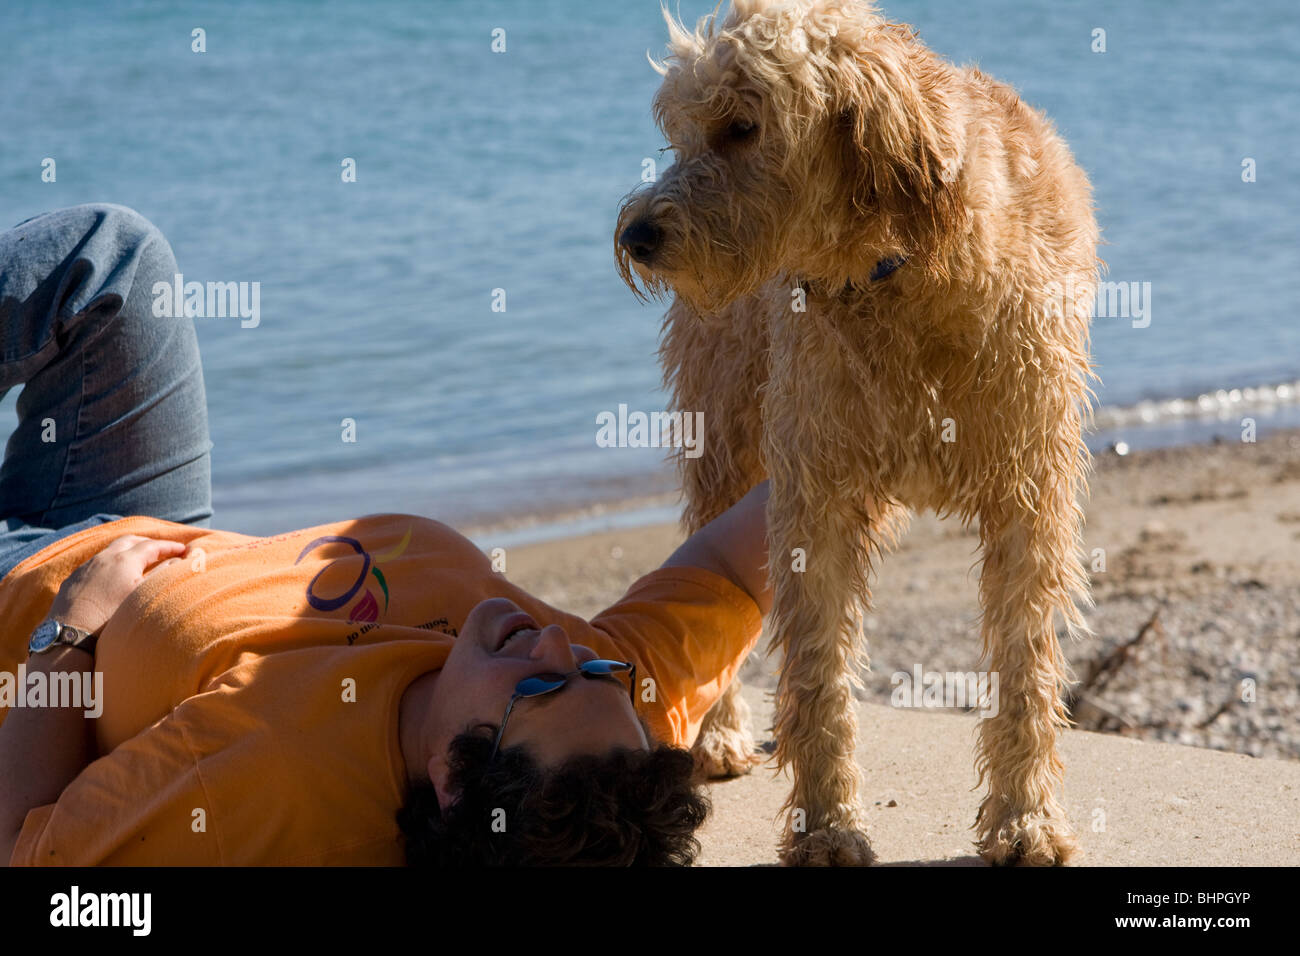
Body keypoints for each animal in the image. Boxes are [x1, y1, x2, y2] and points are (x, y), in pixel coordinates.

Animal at [616, 0, 1097, 868]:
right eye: (683, 131)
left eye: (742, 127)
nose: (637, 234)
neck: (903, 269)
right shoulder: (816, 494)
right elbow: (817, 675)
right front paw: (828, 827)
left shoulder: (1030, 493)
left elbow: (1025, 664)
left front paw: (1025, 820)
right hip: (727, 438)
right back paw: (720, 734)